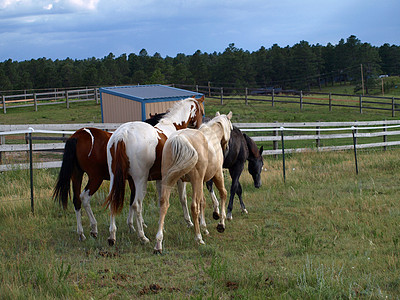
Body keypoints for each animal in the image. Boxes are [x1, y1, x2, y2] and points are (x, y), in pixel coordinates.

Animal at [52, 112, 170, 241]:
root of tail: (77, 136)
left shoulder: (132, 180)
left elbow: (133, 200)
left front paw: (135, 225)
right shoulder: (136, 179)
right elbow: (135, 201)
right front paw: (136, 226)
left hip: (77, 174)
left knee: (77, 200)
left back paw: (81, 234)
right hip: (95, 178)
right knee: (85, 198)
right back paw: (94, 228)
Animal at [104, 96, 205, 246]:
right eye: (202, 112)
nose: (199, 128)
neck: (174, 126)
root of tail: (122, 135)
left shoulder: (160, 179)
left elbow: (160, 201)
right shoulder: (178, 178)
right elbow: (183, 199)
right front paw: (189, 222)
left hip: (115, 178)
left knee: (113, 202)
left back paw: (112, 235)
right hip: (140, 181)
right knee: (137, 204)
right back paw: (142, 236)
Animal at [154, 110, 233, 253]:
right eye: (231, 128)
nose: (227, 147)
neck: (212, 135)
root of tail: (179, 139)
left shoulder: (196, 182)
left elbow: (203, 202)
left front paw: (204, 227)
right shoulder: (217, 174)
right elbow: (222, 194)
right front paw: (221, 223)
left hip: (169, 180)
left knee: (164, 204)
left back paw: (158, 243)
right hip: (197, 180)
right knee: (194, 206)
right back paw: (198, 238)